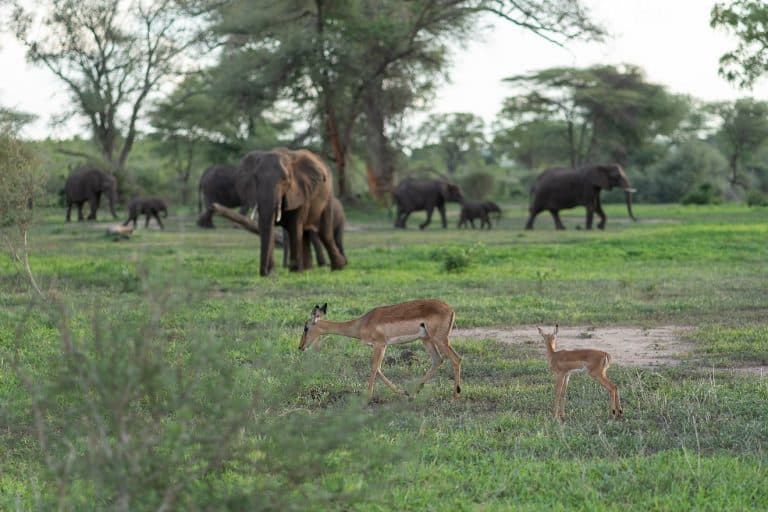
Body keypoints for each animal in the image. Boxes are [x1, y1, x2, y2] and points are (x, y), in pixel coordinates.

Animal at [237, 148, 344, 276]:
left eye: (285, 179)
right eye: (256, 178)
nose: (266, 273)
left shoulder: (300, 191)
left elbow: (294, 226)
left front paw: (294, 271)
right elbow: (267, 226)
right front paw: (275, 272)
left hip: (328, 196)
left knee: (324, 233)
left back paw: (338, 267)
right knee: (306, 232)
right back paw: (308, 270)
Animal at [300, 300, 462, 400]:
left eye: (306, 327)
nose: (300, 347)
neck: (361, 323)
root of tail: (450, 309)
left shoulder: (380, 345)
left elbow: (373, 368)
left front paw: (367, 396)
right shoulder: (381, 346)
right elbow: (378, 369)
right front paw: (403, 392)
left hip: (439, 340)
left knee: (456, 359)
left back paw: (455, 396)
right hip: (426, 340)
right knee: (438, 360)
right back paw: (413, 393)